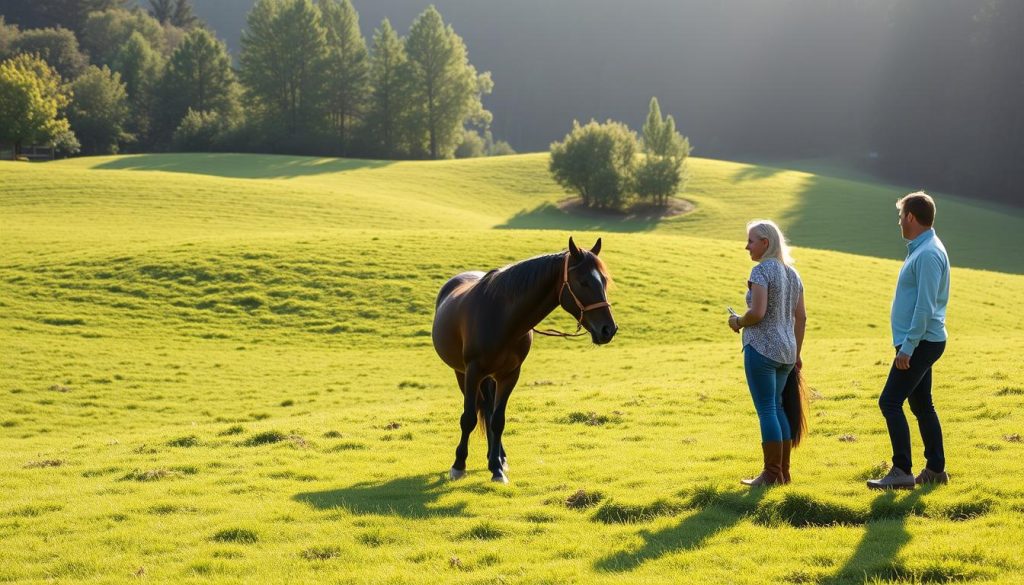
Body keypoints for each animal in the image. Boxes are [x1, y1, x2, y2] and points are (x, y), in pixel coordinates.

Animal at [430, 235, 614, 483]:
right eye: (583, 282)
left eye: (603, 281)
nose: (608, 329)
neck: (502, 317)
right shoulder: (472, 372)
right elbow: (468, 418)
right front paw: (459, 465)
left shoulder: (509, 375)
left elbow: (498, 420)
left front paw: (497, 468)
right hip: (463, 374)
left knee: (489, 411)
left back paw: (498, 457)